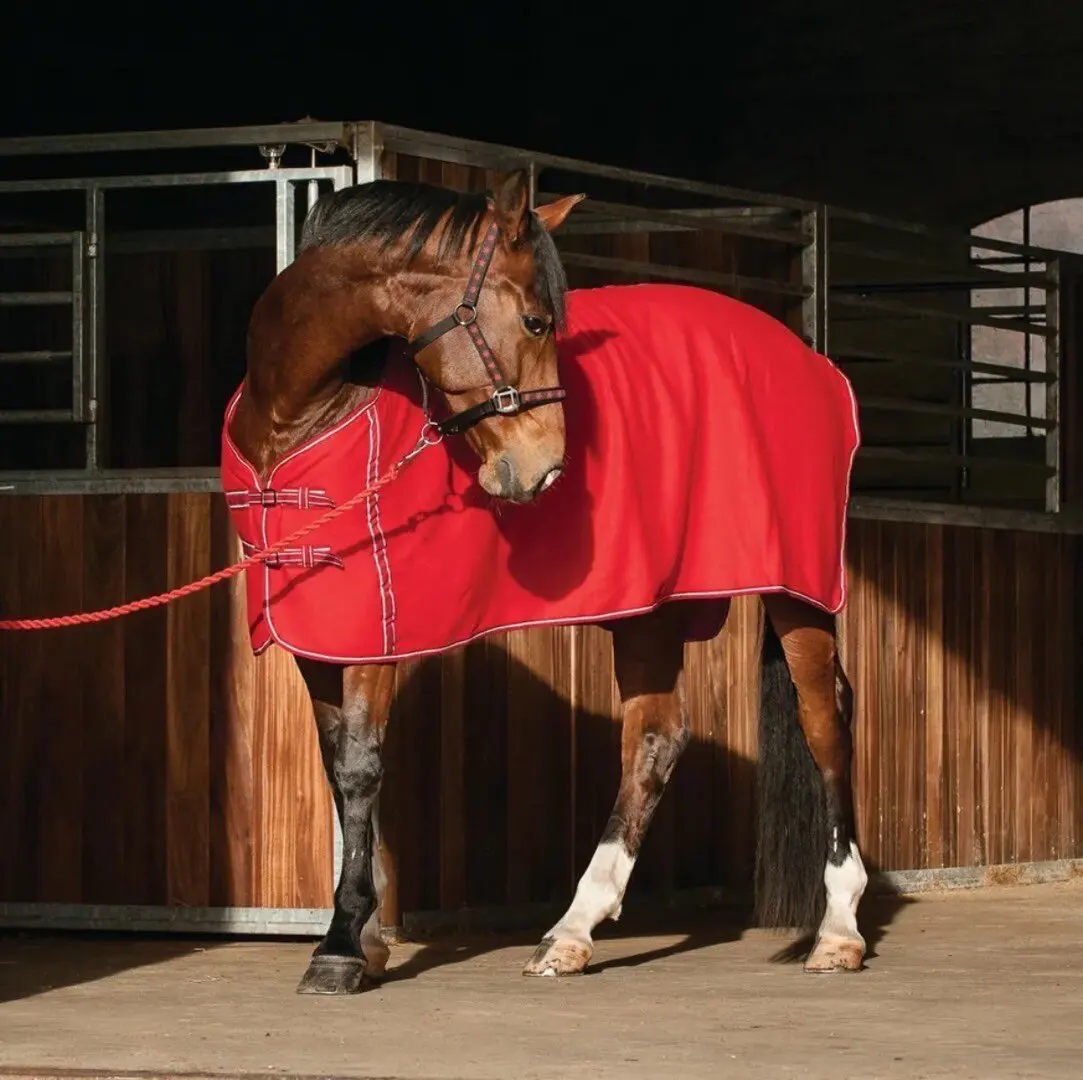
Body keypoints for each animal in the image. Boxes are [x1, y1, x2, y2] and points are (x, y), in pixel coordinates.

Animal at [224, 169, 867, 996]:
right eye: (533, 320)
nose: (544, 471)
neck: (301, 417)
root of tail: (812, 363)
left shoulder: (375, 635)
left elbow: (362, 767)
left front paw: (338, 946)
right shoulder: (317, 637)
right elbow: (338, 770)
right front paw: (363, 937)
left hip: (797, 590)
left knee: (825, 722)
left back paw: (839, 929)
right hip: (651, 607)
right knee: (654, 738)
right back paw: (571, 930)